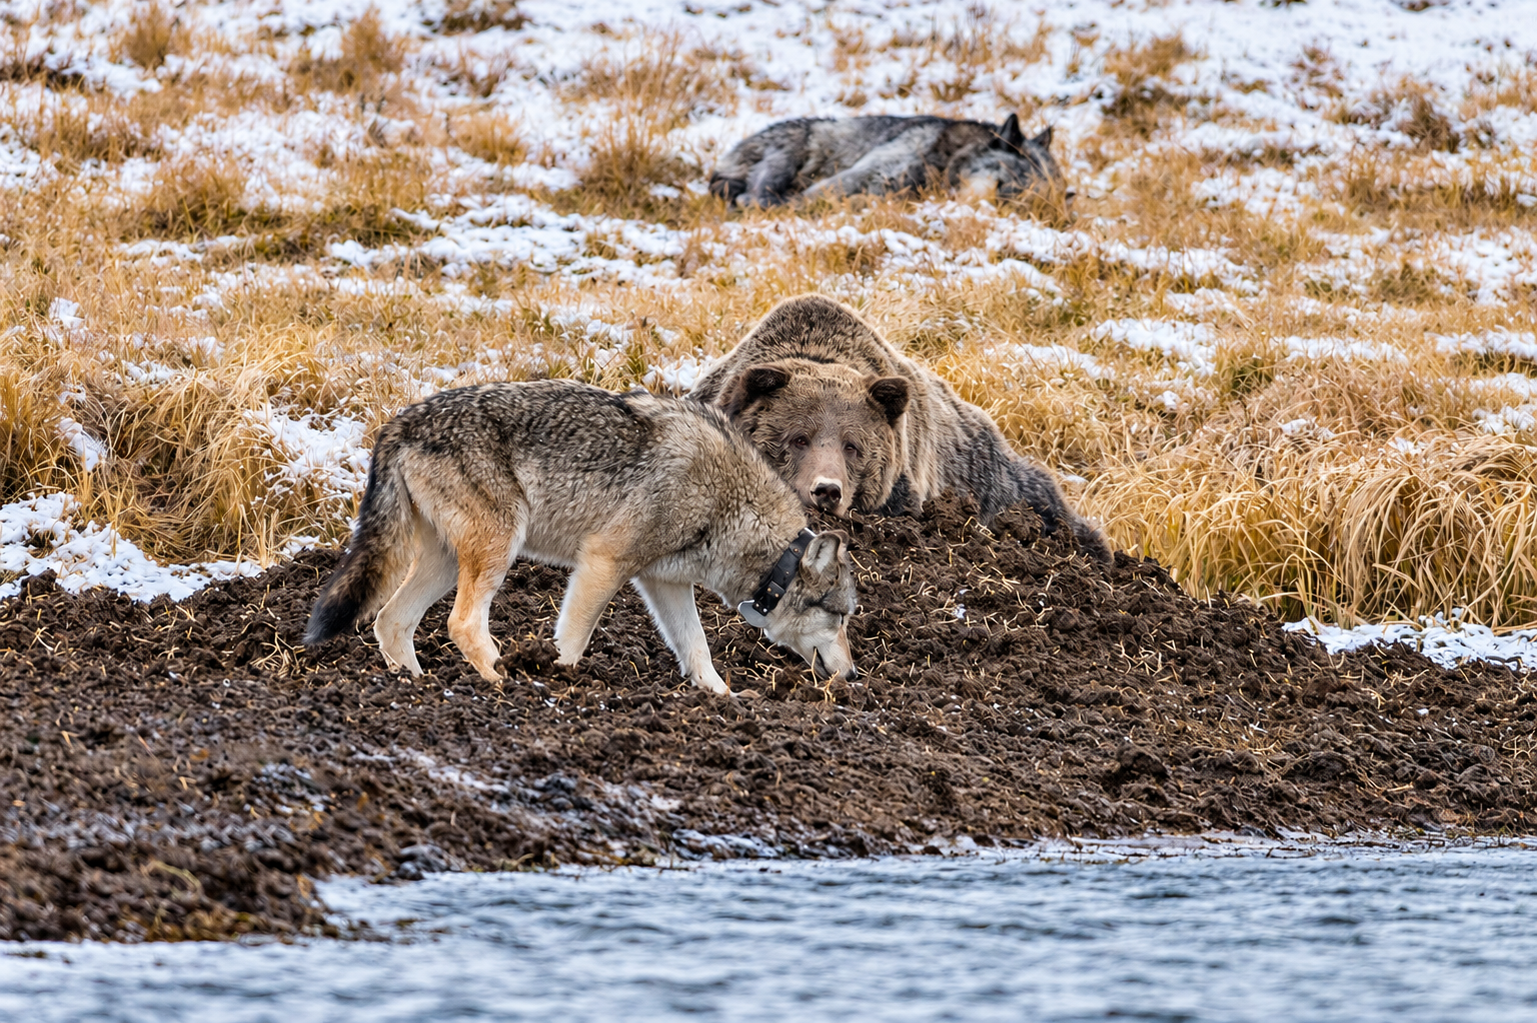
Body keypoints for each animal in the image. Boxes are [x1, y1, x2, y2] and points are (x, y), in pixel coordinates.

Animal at [304, 380, 859, 694]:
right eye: (841, 618)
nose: (853, 676)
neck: (730, 503)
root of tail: (398, 423)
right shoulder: (603, 562)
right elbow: (573, 638)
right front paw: (561, 681)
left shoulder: (665, 583)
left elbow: (697, 649)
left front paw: (724, 697)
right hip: (498, 548)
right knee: (460, 624)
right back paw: (503, 682)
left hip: (445, 563)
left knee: (390, 621)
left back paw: (413, 686)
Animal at [709, 114, 1065, 208]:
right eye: (1020, 178)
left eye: (1047, 192)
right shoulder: (860, 175)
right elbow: (811, 200)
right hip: (788, 156)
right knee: (753, 197)